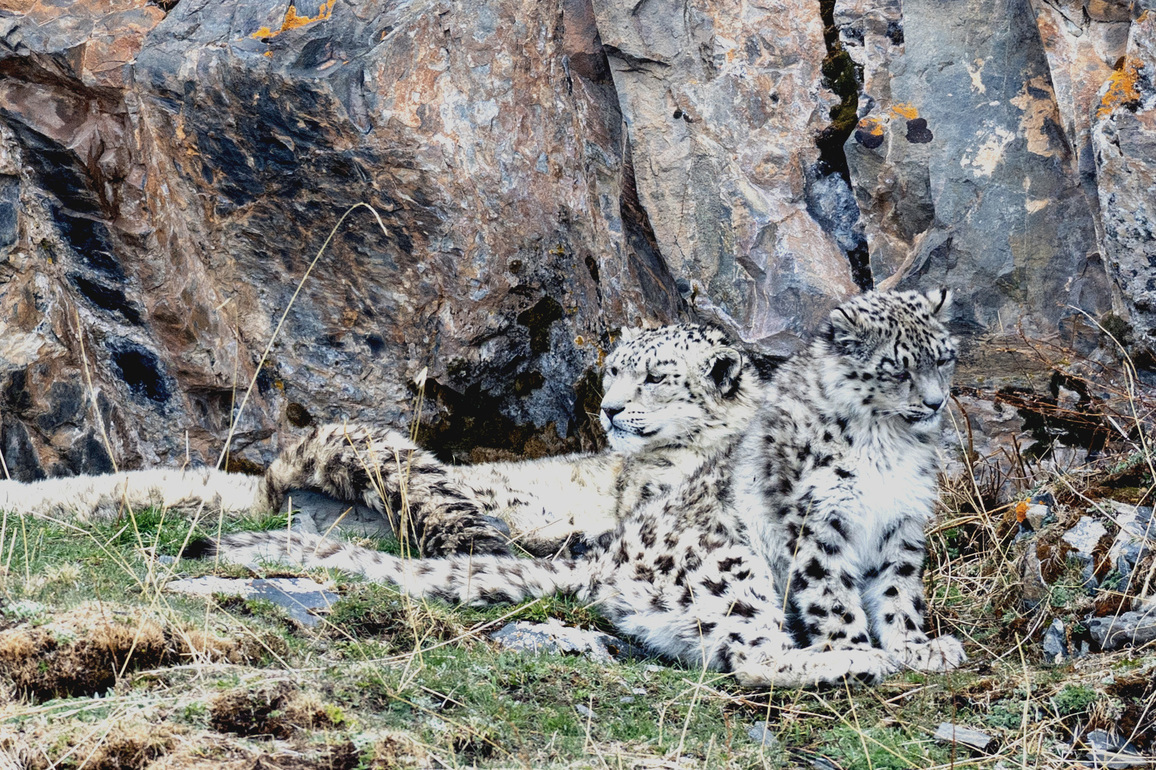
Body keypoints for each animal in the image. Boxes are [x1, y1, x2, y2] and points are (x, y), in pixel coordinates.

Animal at [199, 289, 966, 685]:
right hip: (727, 562)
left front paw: (917, 646)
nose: (612, 410)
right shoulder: (817, 526)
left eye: (657, 376)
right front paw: (869, 646)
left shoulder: (899, 530)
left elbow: (895, 597)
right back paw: (846, 660)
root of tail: (606, 568)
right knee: (746, 652)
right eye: (615, 371)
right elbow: (834, 598)